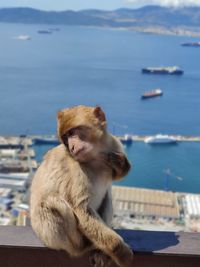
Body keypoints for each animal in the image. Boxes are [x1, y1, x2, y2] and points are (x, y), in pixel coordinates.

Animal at [29, 105, 134, 267]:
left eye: (73, 133)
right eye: (66, 137)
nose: (71, 146)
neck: (95, 157)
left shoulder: (114, 145)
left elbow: (117, 175)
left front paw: (121, 164)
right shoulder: (75, 169)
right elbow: (82, 209)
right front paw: (122, 254)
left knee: (107, 196)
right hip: (50, 234)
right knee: (53, 203)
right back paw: (87, 247)